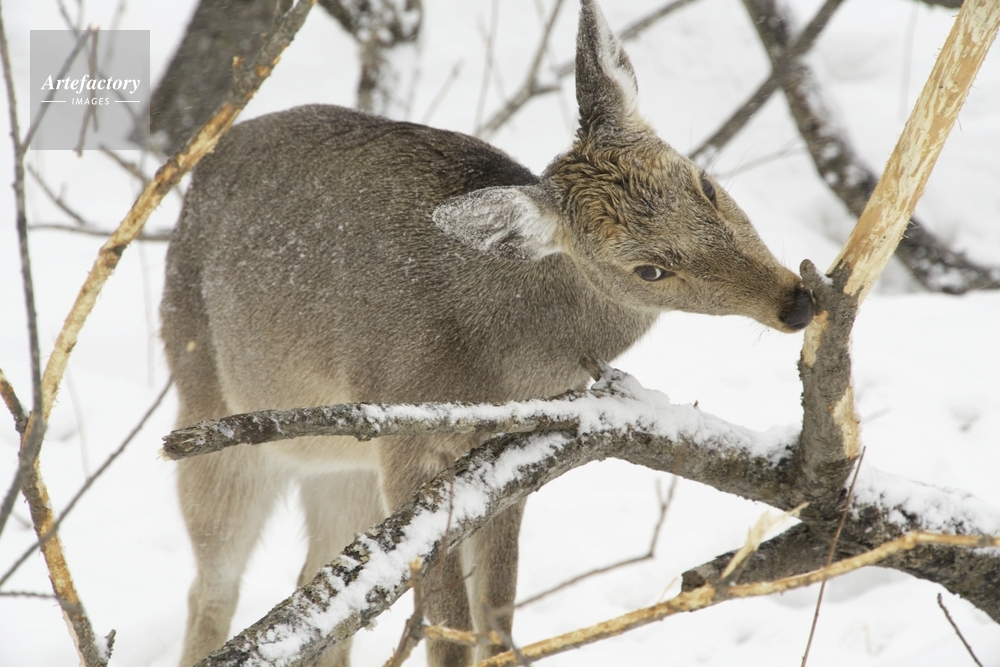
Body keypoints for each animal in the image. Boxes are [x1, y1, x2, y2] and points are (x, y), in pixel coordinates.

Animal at [161, 1, 813, 665]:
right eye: (649, 269)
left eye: (704, 183)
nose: (795, 301)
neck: (500, 361)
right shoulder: (407, 441)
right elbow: (448, 629)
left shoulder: (511, 453)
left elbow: (497, 614)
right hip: (211, 412)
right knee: (214, 586)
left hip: (342, 468)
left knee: (318, 593)